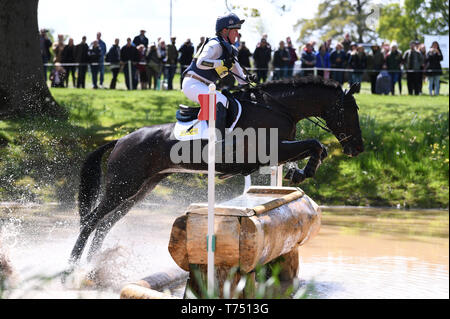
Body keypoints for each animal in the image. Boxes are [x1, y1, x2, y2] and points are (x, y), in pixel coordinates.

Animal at [69, 75, 366, 264]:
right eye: (351, 111)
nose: (358, 148)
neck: (278, 108)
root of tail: (121, 140)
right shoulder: (274, 150)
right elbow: (315, 144)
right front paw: (303, 172)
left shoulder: (280, 150)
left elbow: (317, 148)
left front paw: (299, 172)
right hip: (123, 186)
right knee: (91, 220)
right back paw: (70, 269)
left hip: (140, 189)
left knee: (105, 224)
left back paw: (91, 267)